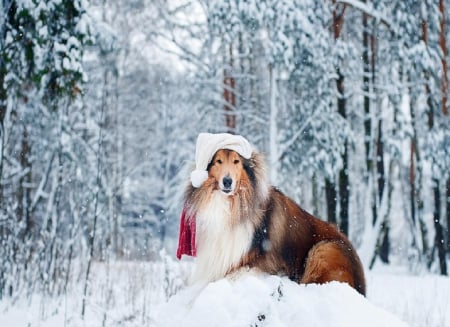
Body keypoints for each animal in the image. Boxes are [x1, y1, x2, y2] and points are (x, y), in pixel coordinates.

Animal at [183, 149, 366, 294]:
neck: (231, 205)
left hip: (323, 249)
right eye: (218, 161)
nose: (227, 181)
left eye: (236, 161)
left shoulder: (252, 265)